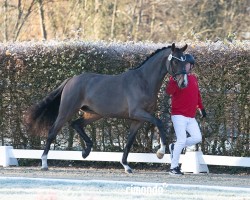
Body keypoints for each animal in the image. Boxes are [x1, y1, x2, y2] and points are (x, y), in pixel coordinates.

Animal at [24, 42, 188, 173]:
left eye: (185, 61)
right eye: (175, 61)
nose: (183, 83)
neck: (144, 81)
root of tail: (71, 79)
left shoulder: (138, 119)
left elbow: (129, 141)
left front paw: (126, 166)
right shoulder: (138, 113)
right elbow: (159, 122)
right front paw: (160, 152)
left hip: (94, 114)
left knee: (76, 124)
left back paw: (86, 152)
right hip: (66, 111)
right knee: (52, 132)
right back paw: (44, 163)